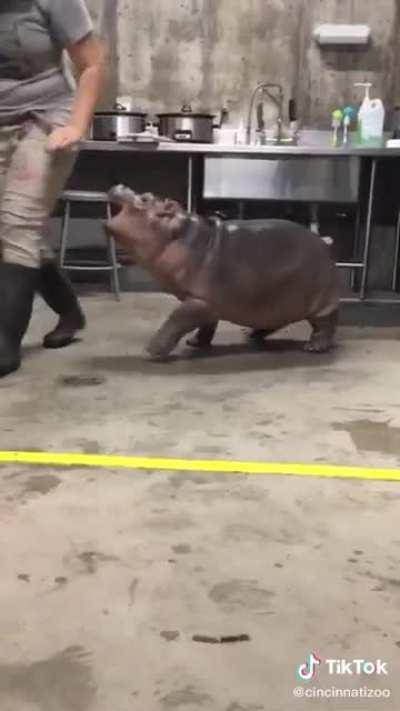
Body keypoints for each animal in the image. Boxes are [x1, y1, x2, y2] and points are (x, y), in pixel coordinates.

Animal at [107, 186, 340, 359]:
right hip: (275, 302)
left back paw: (314, 347)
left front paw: (150, 351)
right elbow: (206, 326)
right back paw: (249, 335)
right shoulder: (207, 302)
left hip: (321, 304)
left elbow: (175, 320)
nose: (120, 185)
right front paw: (194, 343)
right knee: (273, 322)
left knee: (325, 325)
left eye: (145, 198)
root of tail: (325, 245)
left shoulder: (200, 301)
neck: (182, 235)